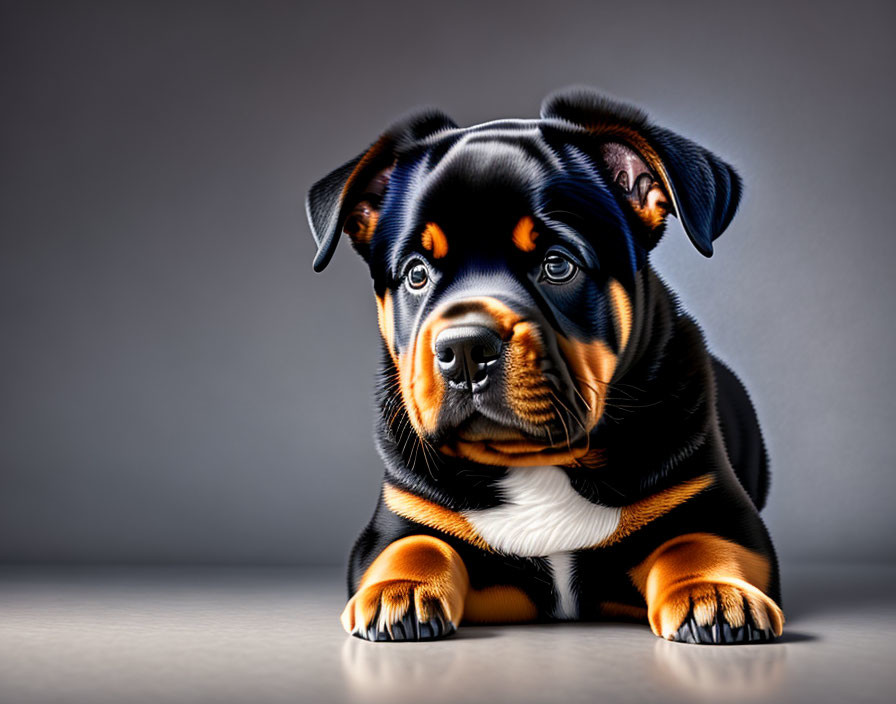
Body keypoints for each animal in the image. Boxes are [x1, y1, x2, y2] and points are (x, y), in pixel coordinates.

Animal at [304, 86, 780, 644]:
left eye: (557, 265)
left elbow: (698, 543)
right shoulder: (401, 517)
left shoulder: (716, 508)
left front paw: (716, 594)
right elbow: (414, 544)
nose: (465, 349)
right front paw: (398, 589)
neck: (536, 461)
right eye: (416, 274)